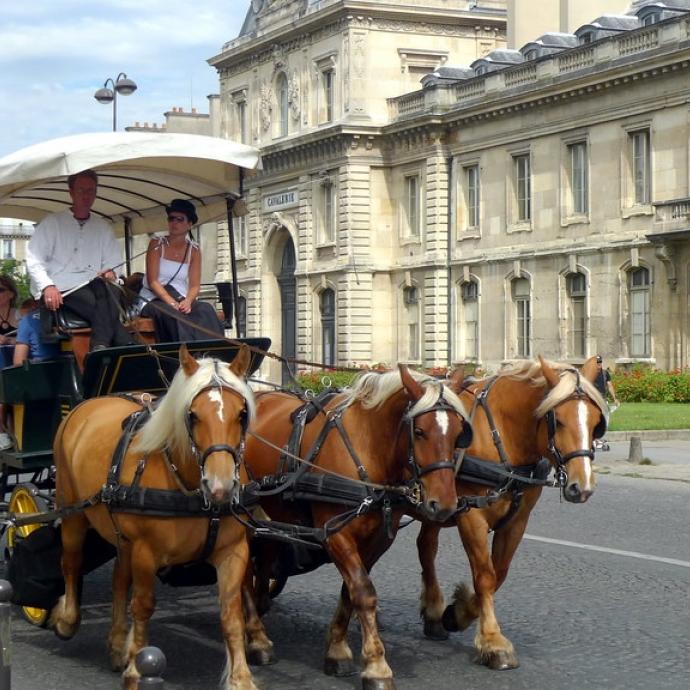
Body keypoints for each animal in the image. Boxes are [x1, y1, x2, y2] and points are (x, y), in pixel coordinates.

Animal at [49, 346, 256, 684]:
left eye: (242, 414)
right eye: (193, 415)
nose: (221, 486)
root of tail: (90, 402)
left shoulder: (232, 551)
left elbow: (231, 614)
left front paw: (241, 678)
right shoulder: (146, 551)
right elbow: (143, 605)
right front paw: (137, 666)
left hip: (120, 532)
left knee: (119, 578)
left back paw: (117, 642)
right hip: (71, 509)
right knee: (71, 560)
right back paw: (67, 619)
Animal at [242, 366, 472, 688]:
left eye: (458, 434)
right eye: (419, 432)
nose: (445, 505)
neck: (368, 450)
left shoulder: (376, 541)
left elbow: (349, 592)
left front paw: (337, 650)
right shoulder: (335, 533)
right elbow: (364, 592)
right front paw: (376, 666)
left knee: (264, 559)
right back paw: (256, 638)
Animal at [416, 354, 604, 668]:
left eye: (596, 422)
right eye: (558, 421)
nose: (583, 486)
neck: (501, 433)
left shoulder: (517, 520)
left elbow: (500, 573)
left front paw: (459, 613)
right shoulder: (471, 516)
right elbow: (485, 576)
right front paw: (492, 642)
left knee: (426, 546)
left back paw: (433, 613)